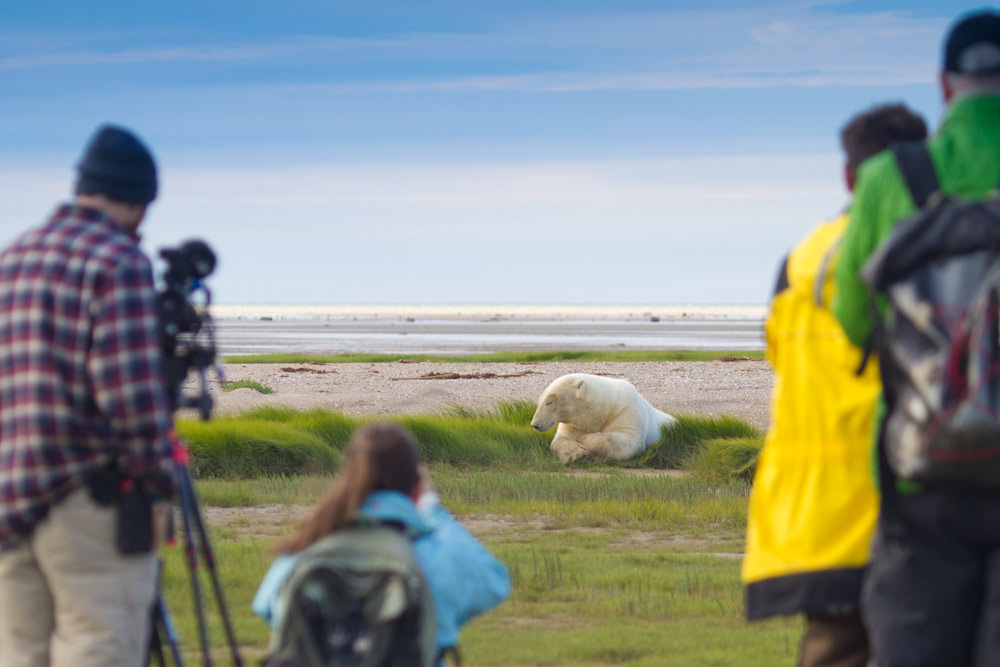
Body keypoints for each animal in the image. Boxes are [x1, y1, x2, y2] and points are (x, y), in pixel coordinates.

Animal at [528, 376, 676, 464]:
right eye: (539, 402)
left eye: (549, 402)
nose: (535, 424)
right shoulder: (575, 423)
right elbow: (560, 439)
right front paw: (576, 453)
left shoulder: (626, 411)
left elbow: (628, 439)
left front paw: (584, 441)